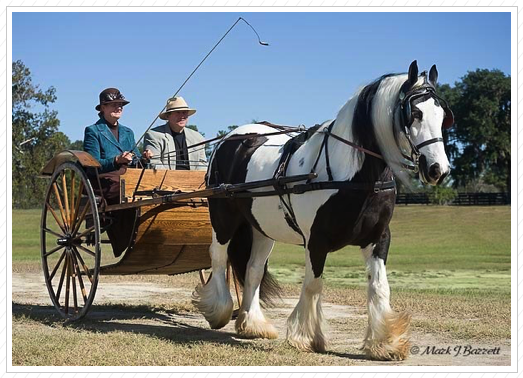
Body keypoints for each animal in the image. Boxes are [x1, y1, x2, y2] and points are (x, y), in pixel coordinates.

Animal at [191, 59, 454, 360]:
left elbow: (379, 287)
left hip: (262, 228)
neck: (354, 176)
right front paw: (307, 337)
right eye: (416, 113)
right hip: (223, 217)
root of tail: (230, 139)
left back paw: (253, 323)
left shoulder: (378, 239)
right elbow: (313, 284)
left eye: (443, 116)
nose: (438, 169)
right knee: (218, 256)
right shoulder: (316, 240)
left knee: (253, 270)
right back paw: (219, 310)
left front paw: (384, 342)